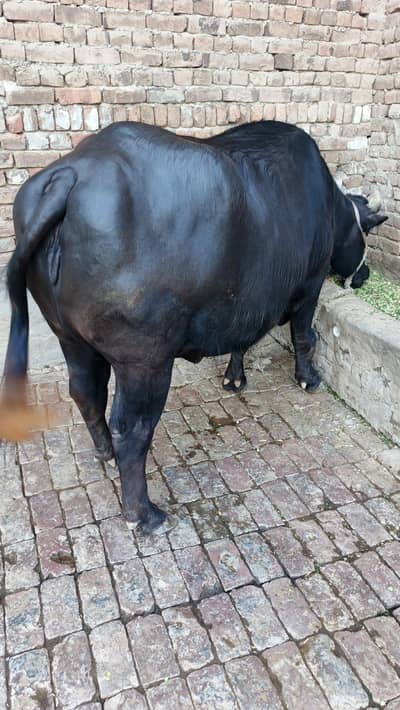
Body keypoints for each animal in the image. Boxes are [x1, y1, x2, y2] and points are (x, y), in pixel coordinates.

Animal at [0, 120, 387, 532]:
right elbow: (305, 336)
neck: (327, 204)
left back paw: (104, 452)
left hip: (69, 337)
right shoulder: (309, 286)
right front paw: (308, 378)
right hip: (145, 362)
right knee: (132, 429)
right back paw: (144, 513)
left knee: (86, 393)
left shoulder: (246, 300)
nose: (364, 275)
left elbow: (241, 341)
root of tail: (71, 175)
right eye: (366, 233)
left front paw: (234, 379)